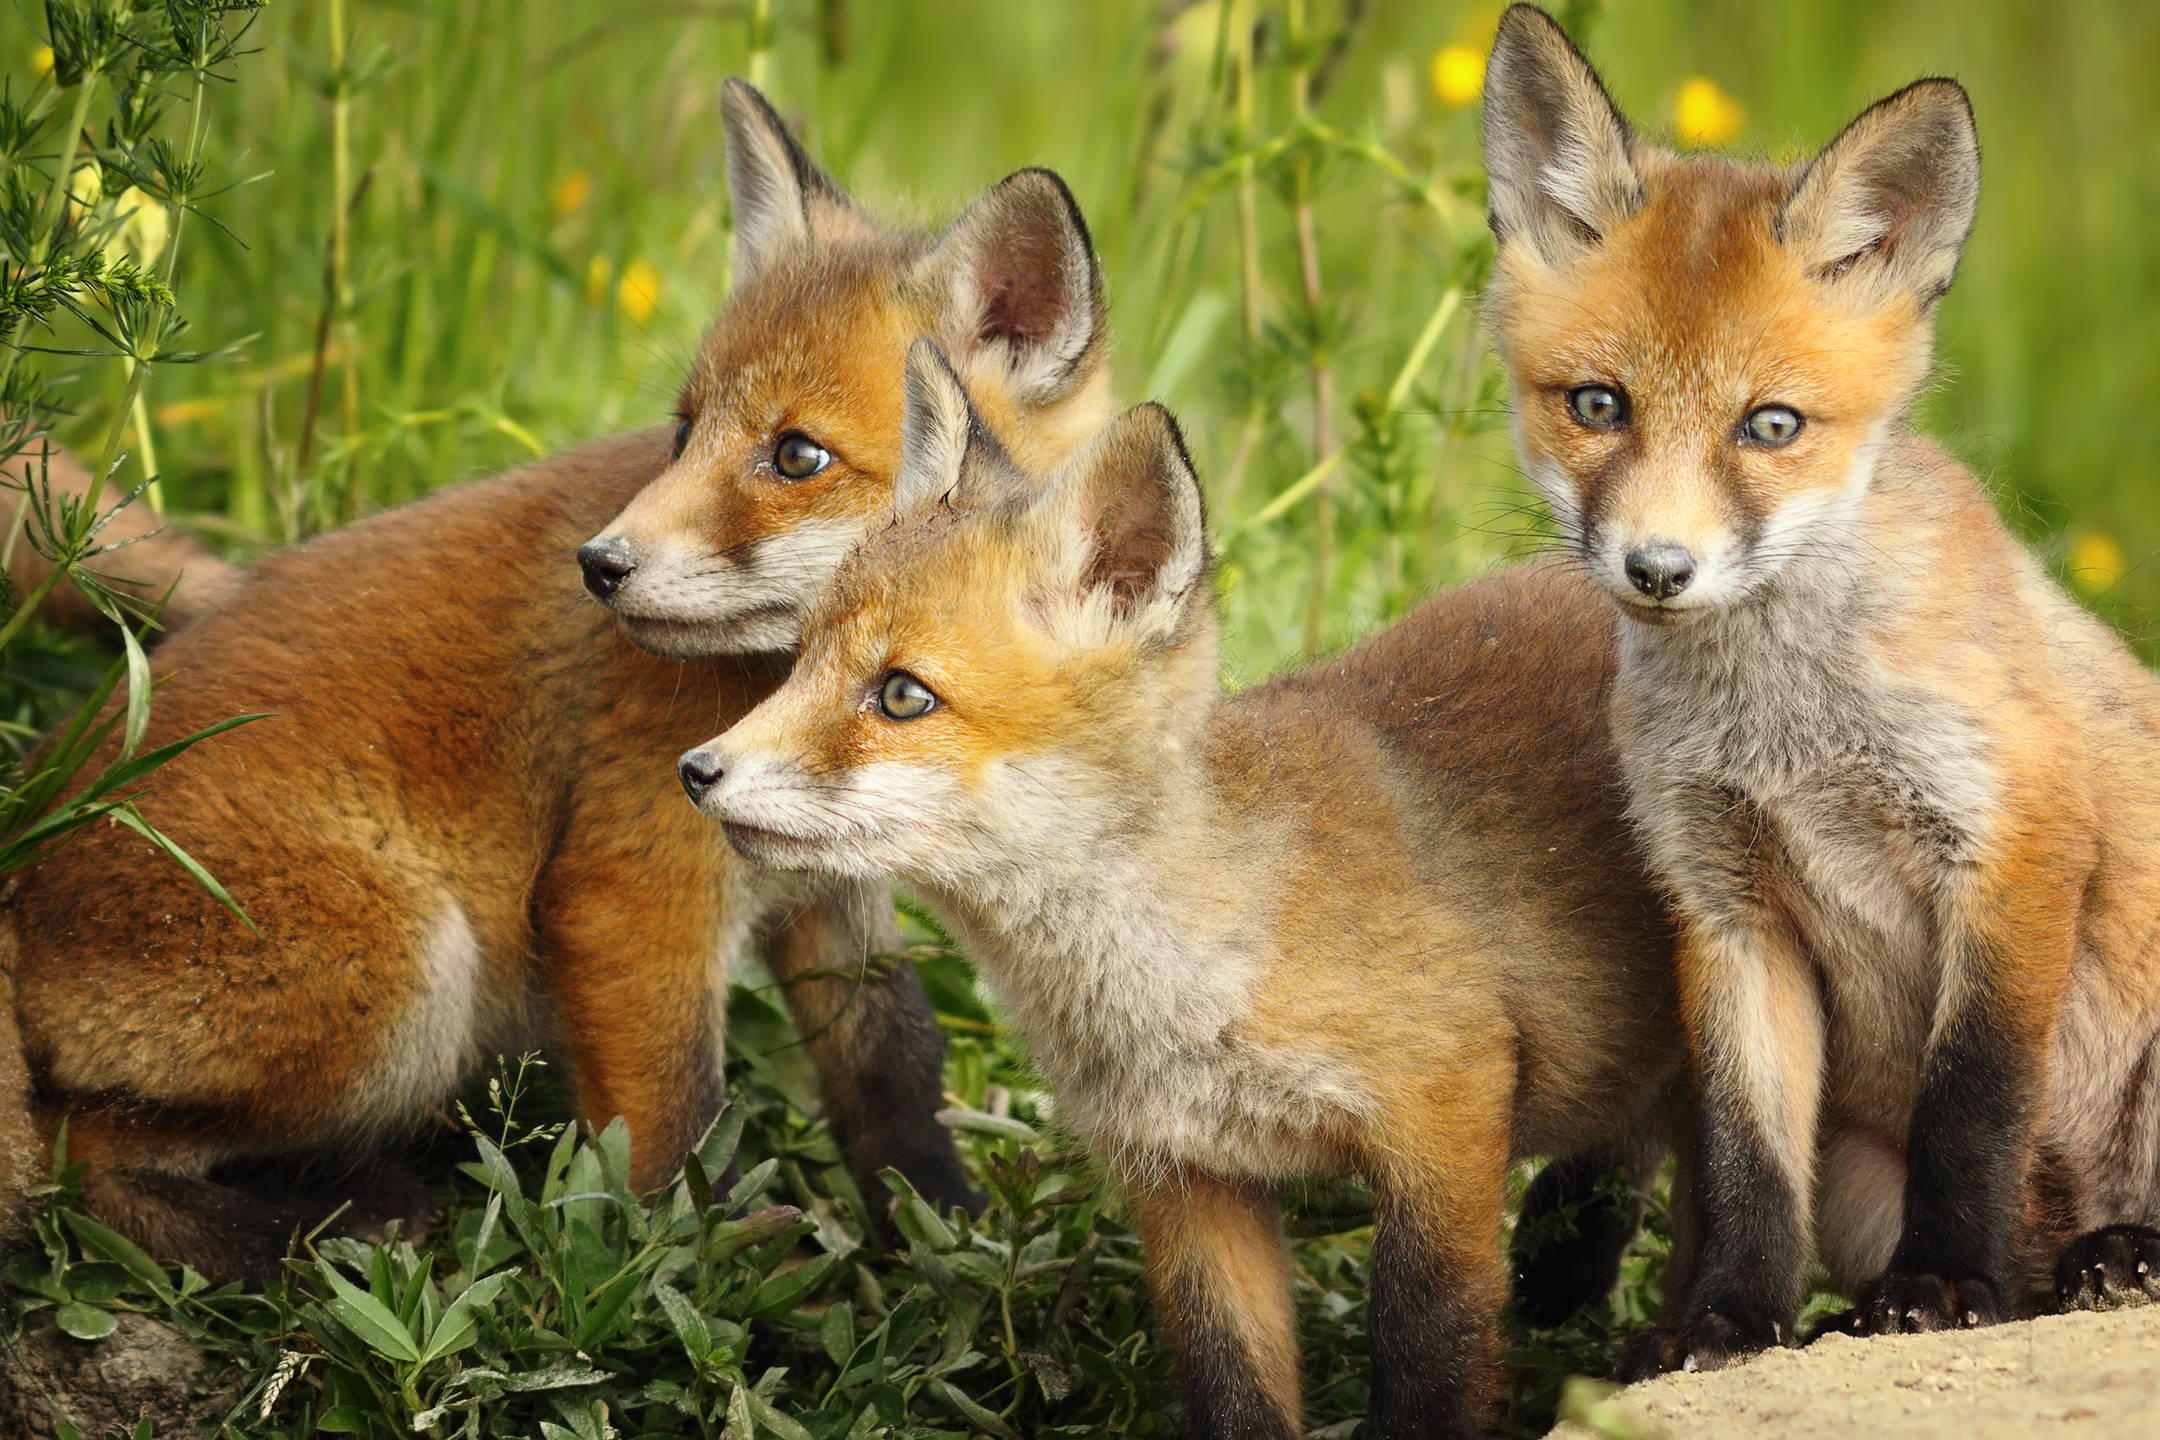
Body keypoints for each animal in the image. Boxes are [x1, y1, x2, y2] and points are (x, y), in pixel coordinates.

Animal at [0, 81, 1114, 1279]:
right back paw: (300, 1231)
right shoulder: (627, 890)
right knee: (74, 1159)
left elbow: (894, 1065)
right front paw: (689, 1277)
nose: (600, 565)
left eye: (797, 457)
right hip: (408, 978)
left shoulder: (823, 893)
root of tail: (24, 845)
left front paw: (942, 1235)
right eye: (684, 432)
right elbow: (673, 1131)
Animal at [676, 339, 1684, 1439]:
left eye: (902, 695)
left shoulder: (1445, 1114)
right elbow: (1230, 1380)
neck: (1188, 982)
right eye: (803, 658)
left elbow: (1428, 1345)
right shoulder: (1184, 1176)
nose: (696, 770)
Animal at [1480, 3, 2160, 1374]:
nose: (1658, 568)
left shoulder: (2013, 838)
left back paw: (2118, 1255)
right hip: (1855, 1179)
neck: (1787, 729)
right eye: (1598, 405)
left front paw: (1942, 1283)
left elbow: (1971, 1106)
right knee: (2019, 1263)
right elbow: (1746, 1154)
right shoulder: (1725, 901)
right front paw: (1728, 1319)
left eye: (1773, 426)